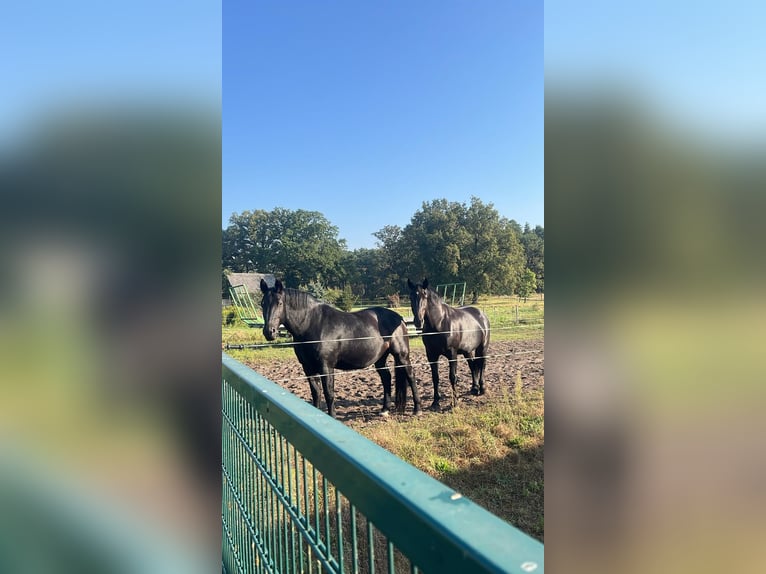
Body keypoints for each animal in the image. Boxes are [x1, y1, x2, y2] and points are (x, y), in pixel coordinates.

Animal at [260, 280, 424, 418]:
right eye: (262, 304)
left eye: (279, 303)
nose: (269, 332)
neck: (312, 324)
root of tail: (399, 319)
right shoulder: (308, 368)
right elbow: (316, 394)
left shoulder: (326, 367)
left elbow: (329, 394)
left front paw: (332, 417)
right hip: (380, 359)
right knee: (386, 378)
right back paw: (384, 410)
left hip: (401, 355)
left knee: (411, 376)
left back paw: (417, 409)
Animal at [408, 280, 492, 410]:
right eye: (410, 297)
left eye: (424, 295)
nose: (418, 322)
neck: (440, 323)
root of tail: (481, 315)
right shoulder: (431, 355)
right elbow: (435, 378)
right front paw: (435, 402)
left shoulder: (452, 354)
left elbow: (453, 377)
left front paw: (454, 403)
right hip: (468, 351)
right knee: (473, 366)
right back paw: (474, 388)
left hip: (482, 348)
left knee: (482, 365)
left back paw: (482, 389)